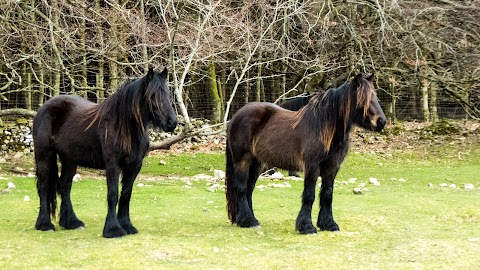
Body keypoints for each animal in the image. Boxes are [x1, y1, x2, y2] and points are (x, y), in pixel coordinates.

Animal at [32, 67, 177, 238]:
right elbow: (113, 195)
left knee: (64, 186)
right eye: (152, 95)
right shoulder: (113, 165)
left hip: (69, 160)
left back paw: (71, 222)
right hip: (44, 155)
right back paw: (44, 224)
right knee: (43, 186)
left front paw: (127, 225)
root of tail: (44, 107)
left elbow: (126, 195)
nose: (172, 122)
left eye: (167, 94)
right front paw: (113, 229)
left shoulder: (134, 165)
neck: (125, 127)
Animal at [225, 74, 386, 234]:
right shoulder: (312, 166)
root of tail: (236, 116)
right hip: (243, 160)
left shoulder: (332, 167)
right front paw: (306, 226)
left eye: (375, 96)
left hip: (257, 163)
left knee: (249, 189)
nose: (381, 121)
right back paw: (247, 221)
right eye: (363, 99)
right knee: (242, 188)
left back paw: (250, 220)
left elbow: (327, 194)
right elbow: (309, 195)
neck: (323, 127)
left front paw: (328, 224)